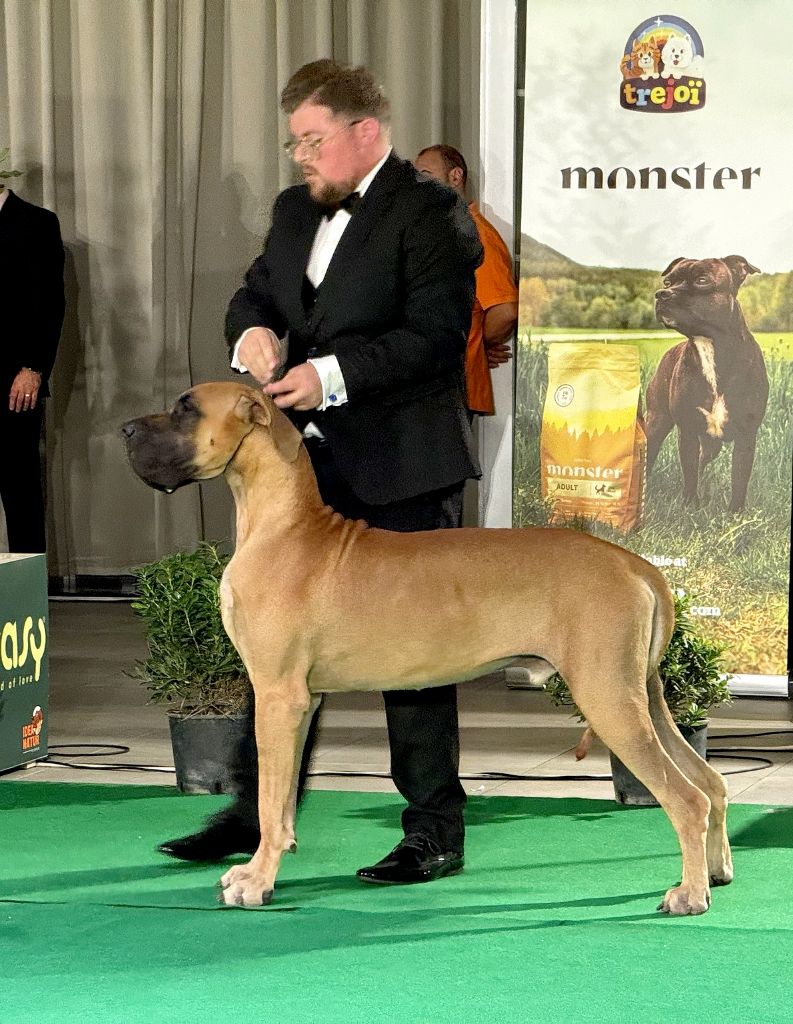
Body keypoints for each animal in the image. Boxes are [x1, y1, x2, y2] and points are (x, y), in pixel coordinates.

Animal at [120, 382, 737, 913]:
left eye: (185, 408)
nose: (124, 428)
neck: (283, 525)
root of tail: (637, 565)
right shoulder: (301, 701)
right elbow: (283, 797)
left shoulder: (277, 695)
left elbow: (272, 804)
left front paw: (257, 879)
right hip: (643, 695)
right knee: (709, 782)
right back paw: (715, 872)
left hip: (609, 697)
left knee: (686, 797)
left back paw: (688, 894)